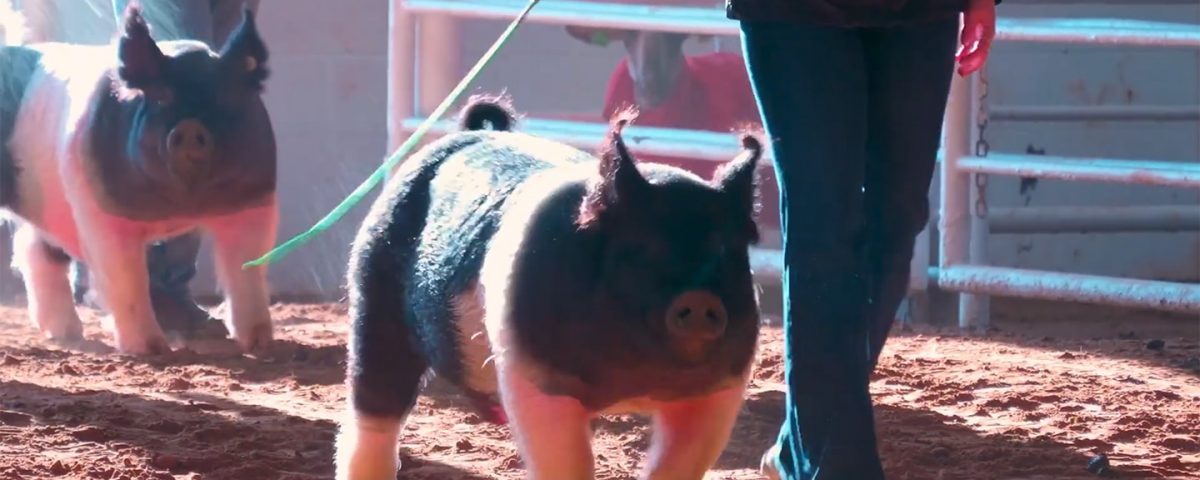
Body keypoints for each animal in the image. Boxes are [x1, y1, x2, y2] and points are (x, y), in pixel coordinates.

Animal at [0, 4, 277, 355]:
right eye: (160, 97)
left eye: (225, 98)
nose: (189, 127)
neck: (180, 209)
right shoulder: (100, 210)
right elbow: (126, 277)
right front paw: (151, 349)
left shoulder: (253, 202)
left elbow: (247, 270)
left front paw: (260, 342)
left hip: (50, 205)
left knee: (35, 250)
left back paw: (67, 333)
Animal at [335, 95, 764, 480]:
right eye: (642, 247)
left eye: (724, 249)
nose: (700, 297)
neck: (636, 382)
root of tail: (473, 132)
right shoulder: (533, 376)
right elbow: (567, 459)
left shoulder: (720, 389)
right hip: (374, 291)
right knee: (373, 411)